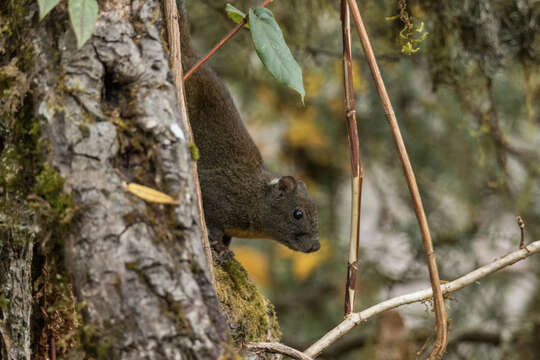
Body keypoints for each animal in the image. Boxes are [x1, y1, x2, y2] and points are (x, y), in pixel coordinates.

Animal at [179, 4, 318, 253]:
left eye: (316, 212)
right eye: (297, 214)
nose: (315, 246)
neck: (254, 197)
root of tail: (189, 57)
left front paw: (226, 247)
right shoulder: (215, 194)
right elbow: (212, 221)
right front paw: (217, 243)